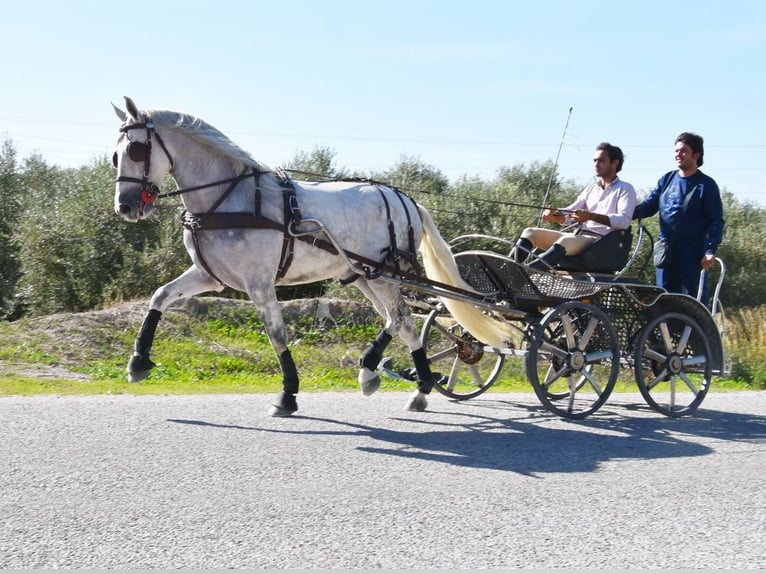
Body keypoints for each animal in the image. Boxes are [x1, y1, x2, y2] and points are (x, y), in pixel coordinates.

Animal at [112, 96, 515, 416]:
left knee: (401, 317)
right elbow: (160, 296)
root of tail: (406, 198)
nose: (125, 206)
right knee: (399, 321)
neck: (229, 197)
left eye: (136, 150)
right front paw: (138, 362)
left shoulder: (259, 283)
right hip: (365, 275)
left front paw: (287, 394)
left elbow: (276, 334)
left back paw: (400, 378)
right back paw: (401, 381)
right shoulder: (208, 275)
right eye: (115, 155)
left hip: (384, 275)